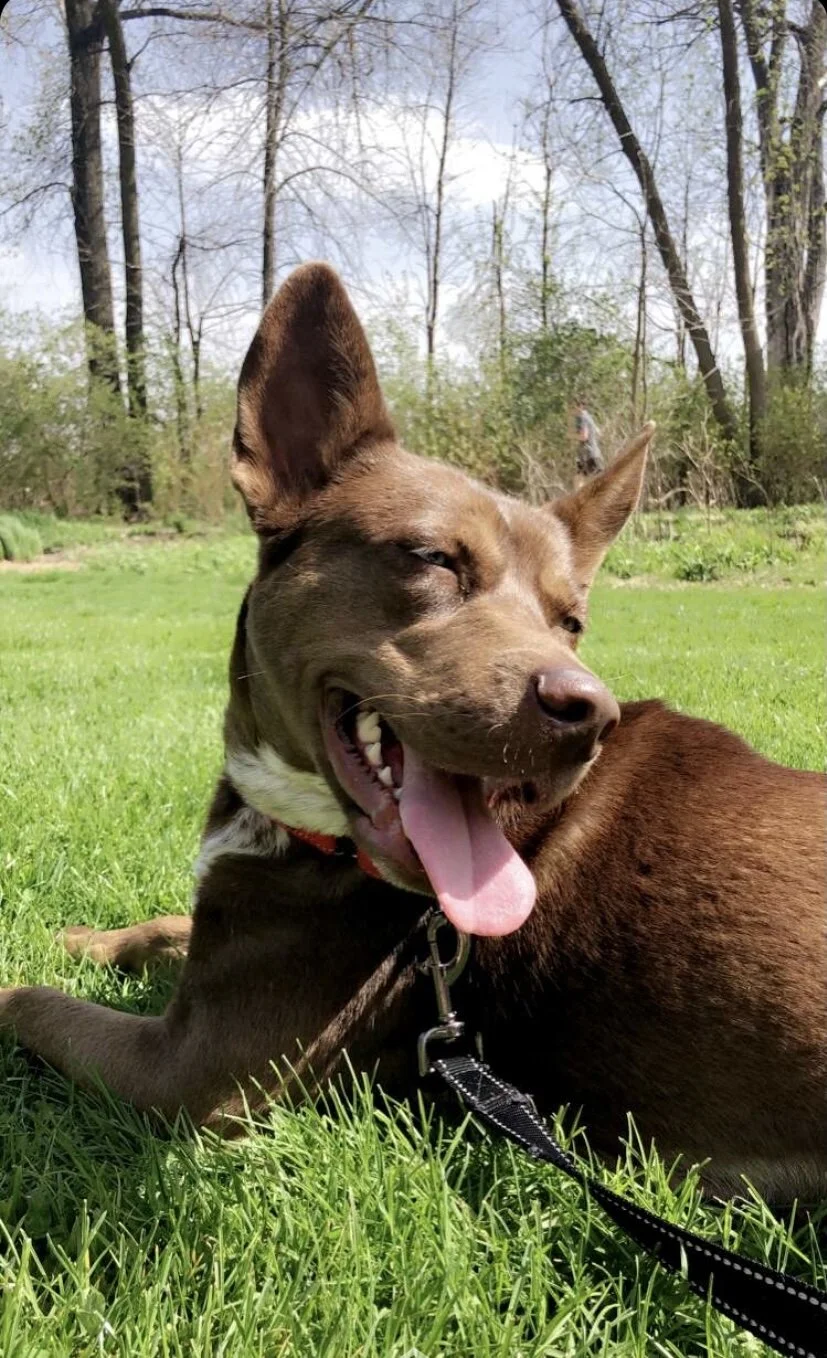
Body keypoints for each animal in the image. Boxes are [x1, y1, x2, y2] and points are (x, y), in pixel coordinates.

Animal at [1, 264, 824, 1203]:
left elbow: (24, 998)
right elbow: (164, 922)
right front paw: (84, 939)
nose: (590, 715)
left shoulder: (194, 1070)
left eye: (570, 620)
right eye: (433, 558)